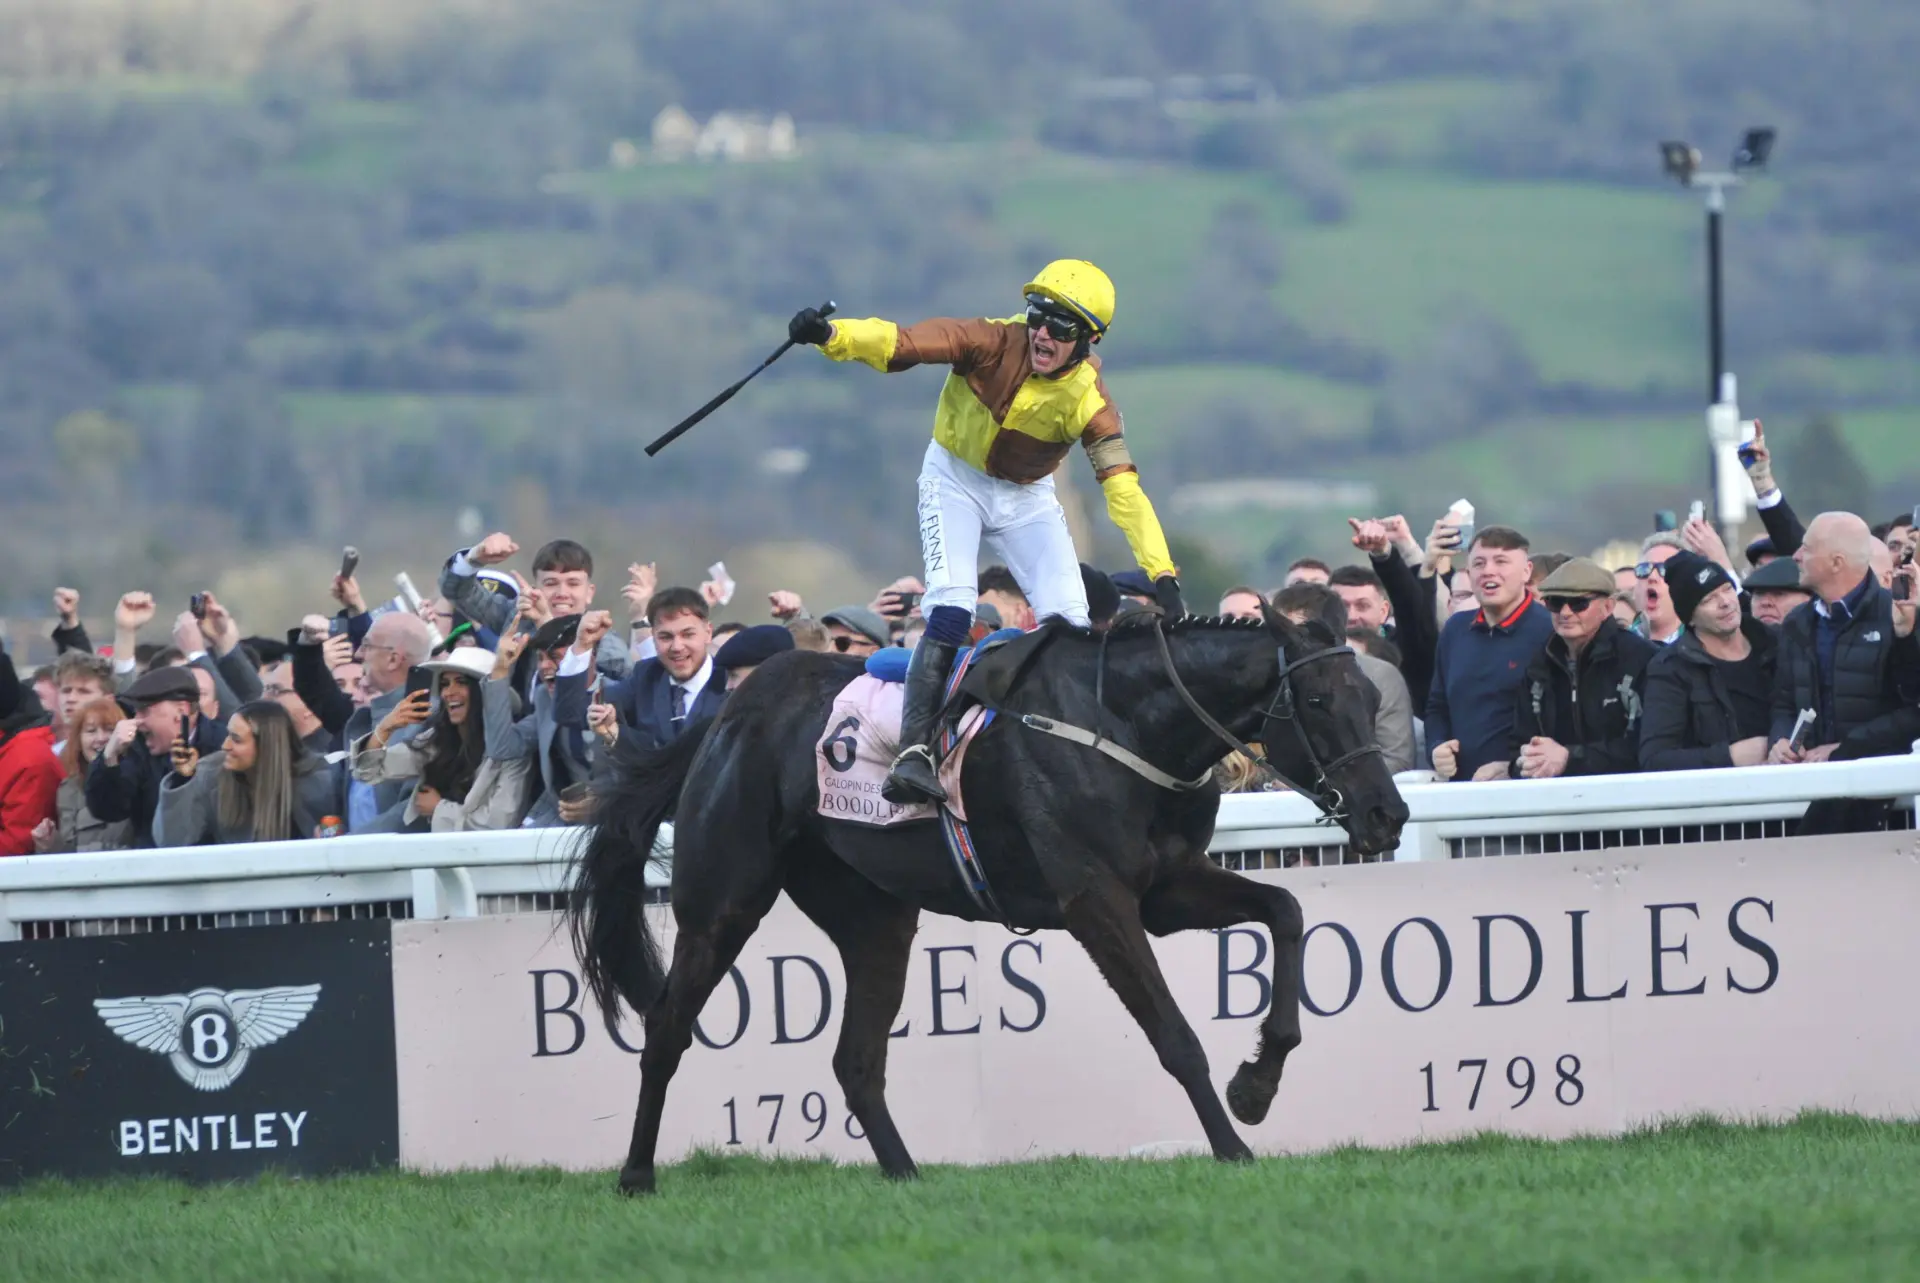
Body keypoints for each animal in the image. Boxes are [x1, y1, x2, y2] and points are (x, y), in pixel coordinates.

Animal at [568, 610, 1413, 1190]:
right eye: (1315, 697)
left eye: (1370, 694)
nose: (1386, 813)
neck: (1123, 722)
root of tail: (725, 715)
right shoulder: (1096, 899)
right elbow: (1174, 1034)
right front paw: (1234, 1144)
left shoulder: (1167, 887)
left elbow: (1286, 912)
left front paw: (1257, 1084)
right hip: (725, 903)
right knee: (668, 1029)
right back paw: (636, 1175)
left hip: (876, 917)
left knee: (856, 1060)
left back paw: (907, 1176)